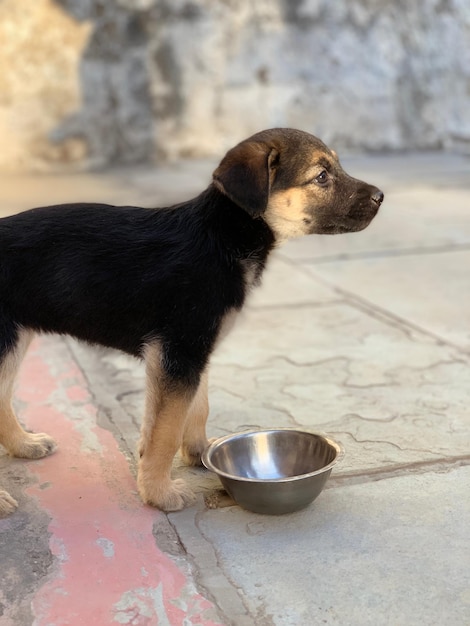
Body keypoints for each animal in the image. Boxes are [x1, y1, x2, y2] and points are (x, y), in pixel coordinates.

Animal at [0, 125, 382, 512]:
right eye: (321, 176)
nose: (381, 196)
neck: (223, 236)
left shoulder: (193, 353)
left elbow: (193, 409)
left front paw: (199, 454)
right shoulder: (180, 351)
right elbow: (167, 430)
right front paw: (159, 492)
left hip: (14, 340)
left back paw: (24, 444)